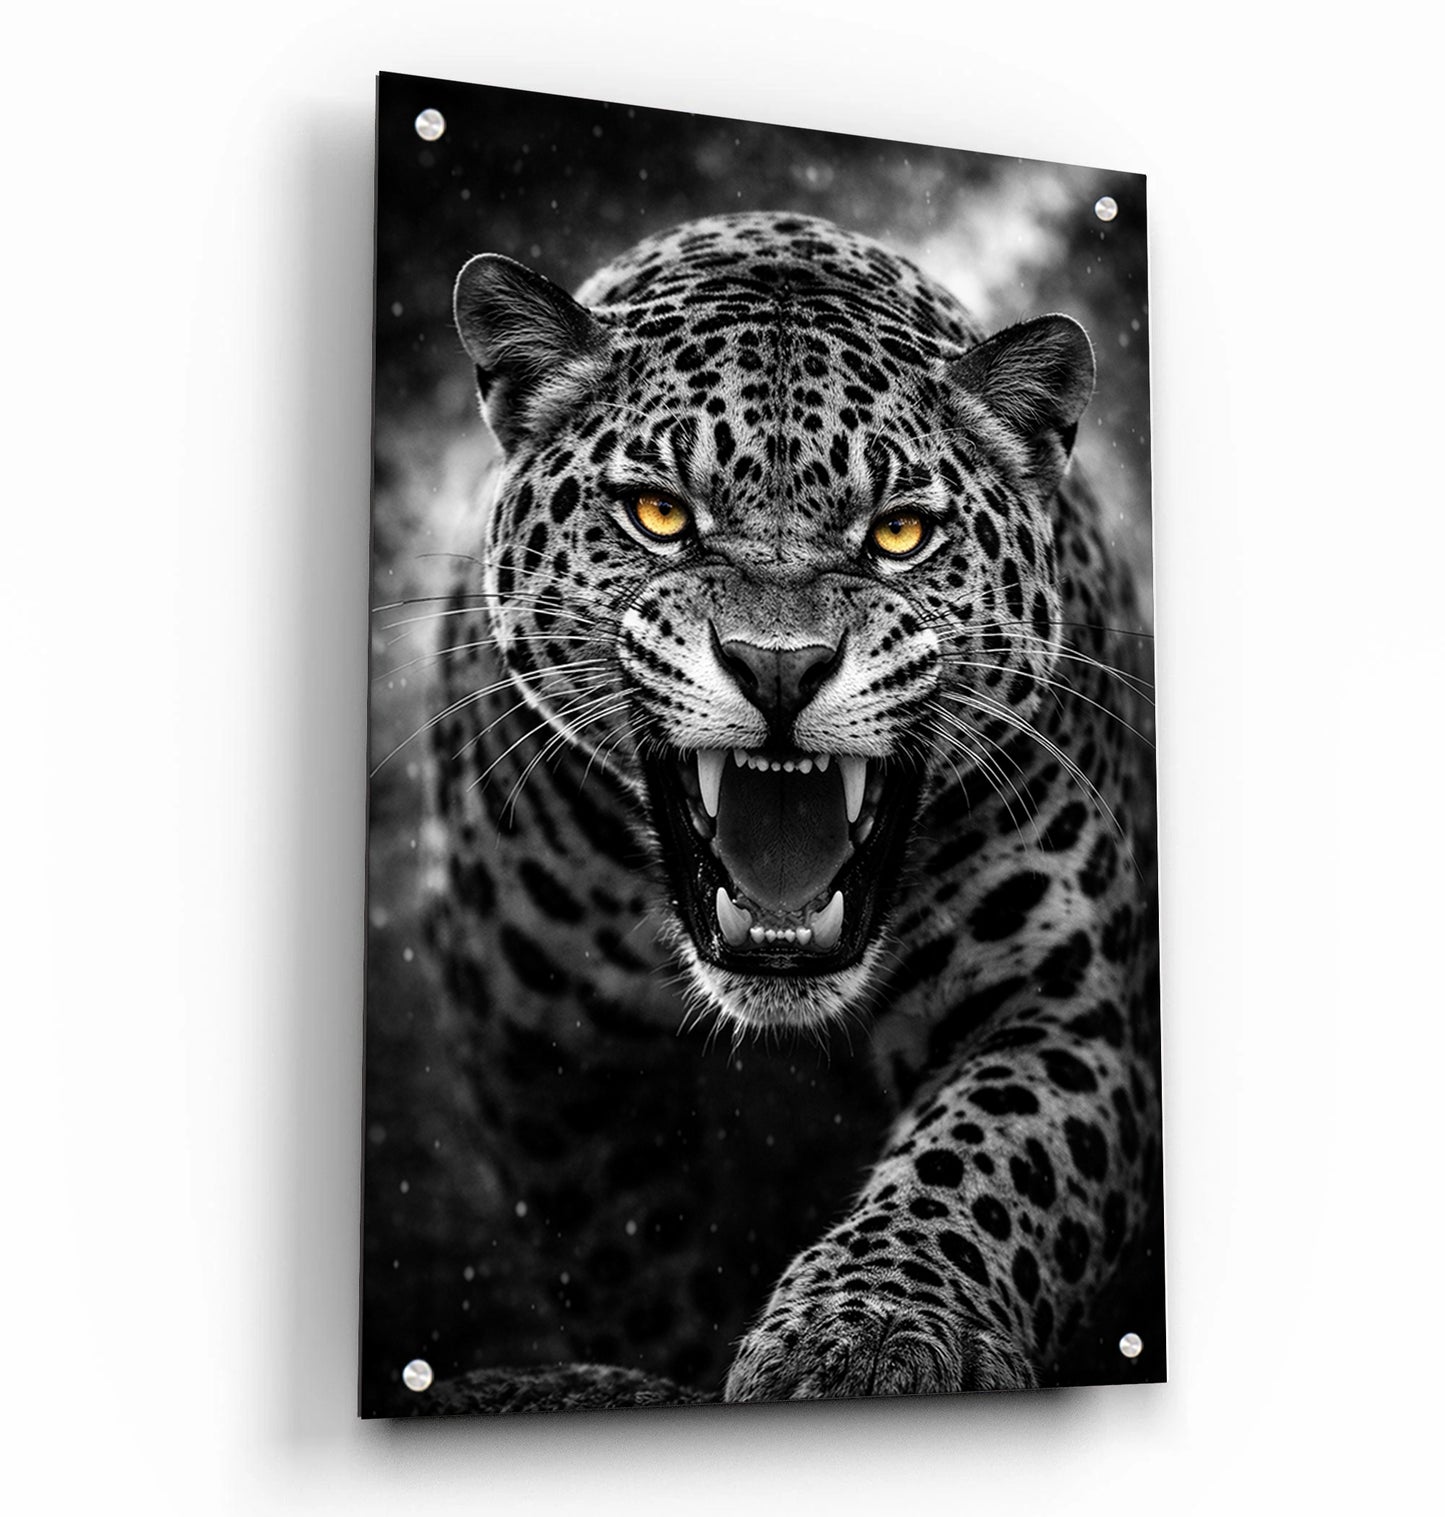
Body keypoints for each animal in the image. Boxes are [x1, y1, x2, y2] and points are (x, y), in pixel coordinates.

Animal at [417, 211, 1160, 1410]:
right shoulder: (544, 1047)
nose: (779, 666)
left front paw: (872, 1332)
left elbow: (979, 1163)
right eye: (659, 514)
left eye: (898, 533)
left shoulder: (1060, 1008)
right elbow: (629, 1252)